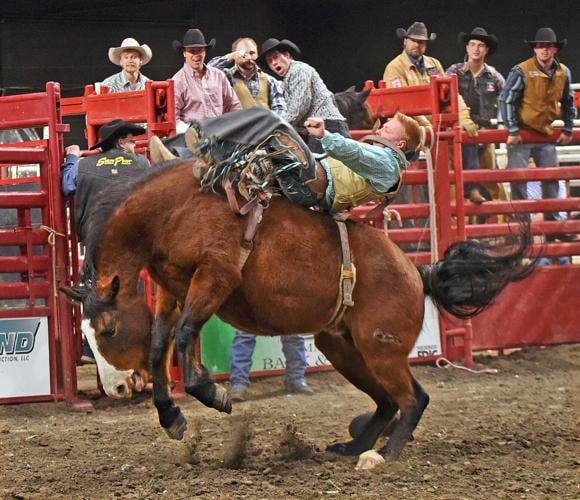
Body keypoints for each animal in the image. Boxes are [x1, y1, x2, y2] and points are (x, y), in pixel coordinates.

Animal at [60, 154, 536, 466]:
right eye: (85, 338)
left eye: (108, 329)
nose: (115, 388)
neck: (174, 209)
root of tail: (417, 272)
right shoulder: (171, 289)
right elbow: (163, 345)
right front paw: (171, 416)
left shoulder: (215, 276)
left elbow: (183, 338)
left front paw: (213, 394)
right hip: (342, 346)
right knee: (387, 402)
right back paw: (353, 447)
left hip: (380, 349)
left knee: (413, 399)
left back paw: (385, 453)